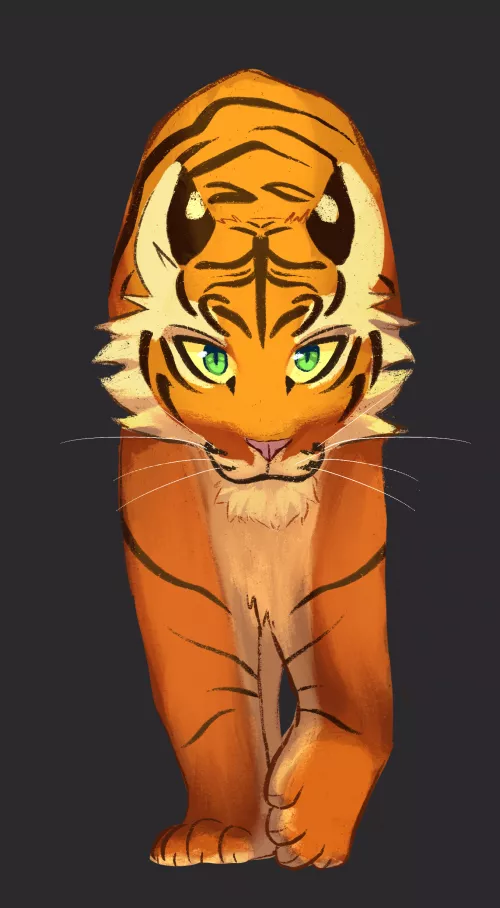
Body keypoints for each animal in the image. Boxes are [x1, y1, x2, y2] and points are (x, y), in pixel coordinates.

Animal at [94, 69, 414, 869]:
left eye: (311, 357)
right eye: (210, 359)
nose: (267, 447)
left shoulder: (347, 482)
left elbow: (351, 668)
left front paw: (316, 821)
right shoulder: (165, 495)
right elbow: (206, 694)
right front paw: (219, 833)